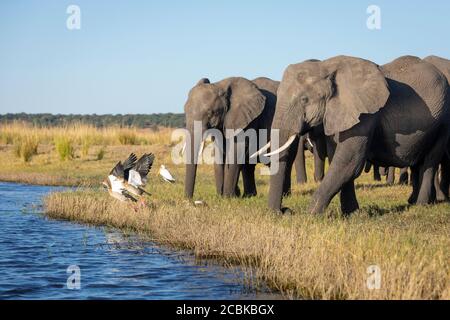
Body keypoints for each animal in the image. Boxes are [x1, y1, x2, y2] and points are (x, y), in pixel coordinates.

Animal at [260, 55, 450, 215]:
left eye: (304, 100)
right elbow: (338, 158)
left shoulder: (364, 115)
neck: (327, 66)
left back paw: (421, 204)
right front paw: (352, 214)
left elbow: (349, 161)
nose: (285, 211)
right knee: (418, 162)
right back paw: (412, 201)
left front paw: (310, 215)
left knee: (430, 162)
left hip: (442, 122)